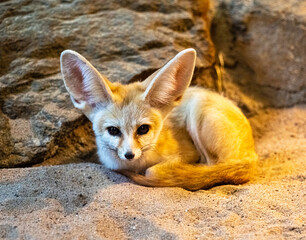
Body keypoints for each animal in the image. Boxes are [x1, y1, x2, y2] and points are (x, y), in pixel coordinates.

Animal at [61, 48, 256, 190]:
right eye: (113, 130)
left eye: (143, 129)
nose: (129, 155)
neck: (136, 165)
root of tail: (252, 155)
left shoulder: (188, 153)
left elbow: (157, 171)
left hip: (198, 110)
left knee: (213, 167)